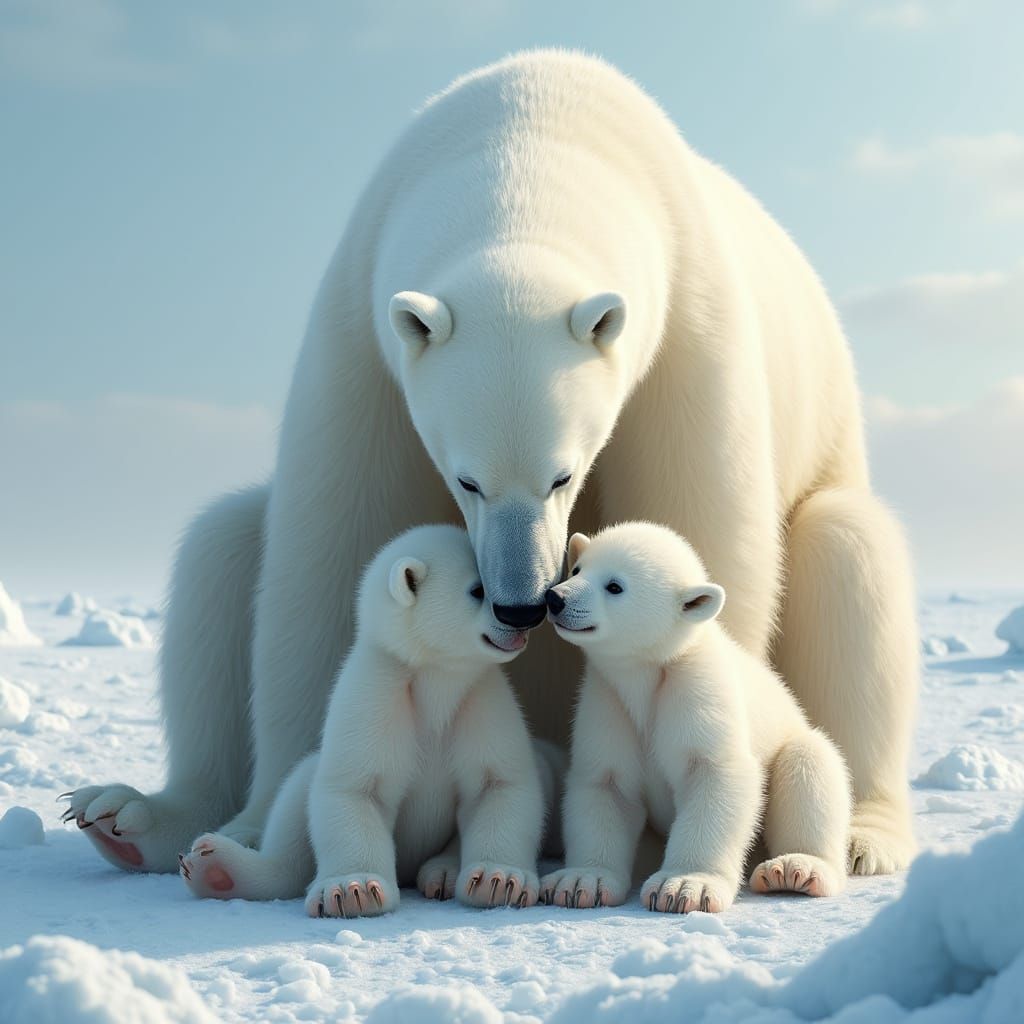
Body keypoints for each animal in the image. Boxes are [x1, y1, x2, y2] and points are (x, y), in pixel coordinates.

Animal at [540, 524, 851, 914]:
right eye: (578, 568)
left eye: (614, 586)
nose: (556, 598)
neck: (647, 674)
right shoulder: (609, 701)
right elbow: (605, 783)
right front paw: (581, 881)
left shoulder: (696, 690)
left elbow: (714, 773)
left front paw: (684, 886)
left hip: (794, 741)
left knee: (808, 764)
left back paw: (795, 867)